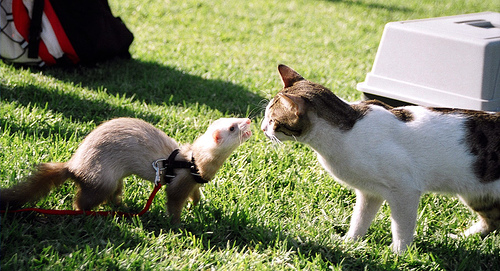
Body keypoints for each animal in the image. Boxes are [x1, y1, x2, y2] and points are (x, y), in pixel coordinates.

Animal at [262, 65, 500, 254]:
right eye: (265, 116)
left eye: (273, 120)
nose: (263, 128)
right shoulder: (370, 192)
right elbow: (359, 220)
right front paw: (349, 242)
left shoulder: (405, 190)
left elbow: (402, 227)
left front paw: (399, 253)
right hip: (479, 194)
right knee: (493, 221)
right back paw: (460, 238)